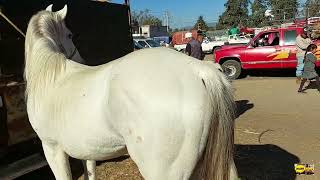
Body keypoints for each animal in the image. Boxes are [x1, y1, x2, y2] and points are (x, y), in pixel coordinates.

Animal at [25, 4, 238, 179]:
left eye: (70, 34)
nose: (82, 60)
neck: (51, 77)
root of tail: (198, 69)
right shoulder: (86, 151)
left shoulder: (52, 148)